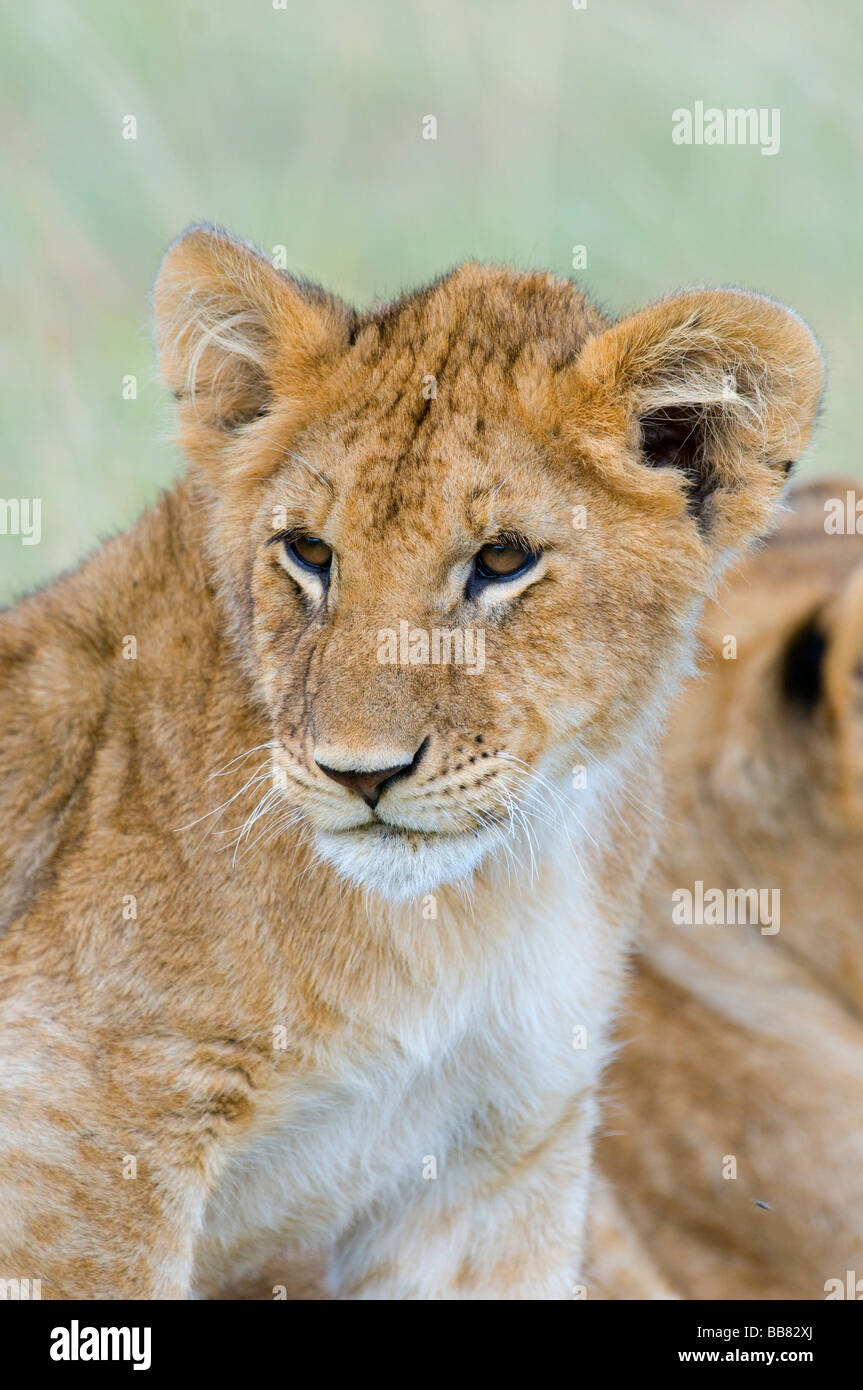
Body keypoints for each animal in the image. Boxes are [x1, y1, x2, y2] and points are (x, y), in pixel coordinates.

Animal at [0, 224, 821, 1298]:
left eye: (503, 560)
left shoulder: (498, 1157)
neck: (475, 910)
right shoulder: (86, 1138)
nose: (360, 774)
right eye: (309, 551)